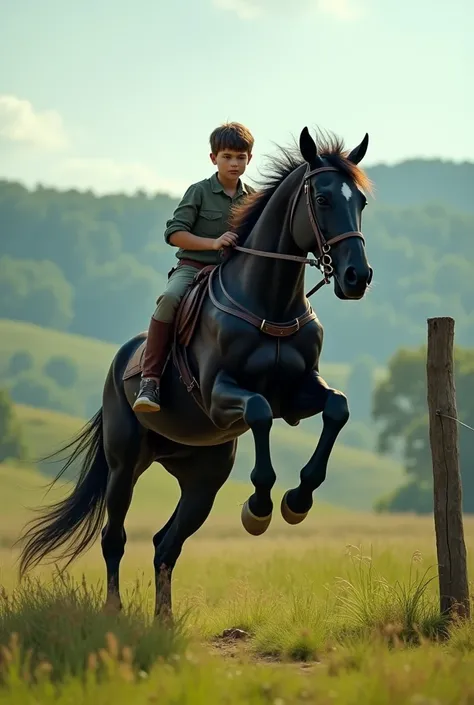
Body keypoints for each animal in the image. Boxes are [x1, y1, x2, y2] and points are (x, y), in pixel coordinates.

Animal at [17, 125, 374, 616]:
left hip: (202, 479)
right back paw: (115, 612)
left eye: (361, 202)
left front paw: (297, 500)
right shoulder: (221, 397)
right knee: (114, 537)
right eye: (321, 199)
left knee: (165, 544)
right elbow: (259, 411)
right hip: (124, 465)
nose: (358, 277)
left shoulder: (300, 394)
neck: (270, 303)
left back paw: (164, 621)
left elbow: (337, 408)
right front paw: (259, 508)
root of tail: (117, 364)